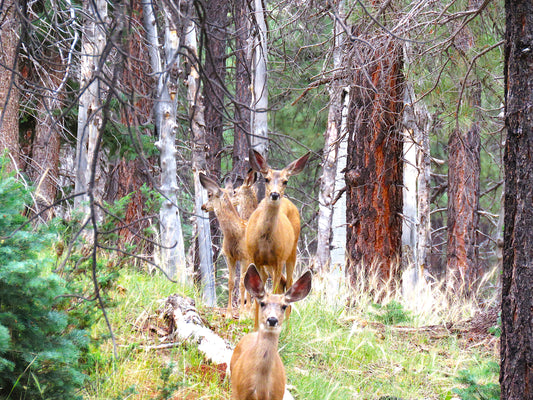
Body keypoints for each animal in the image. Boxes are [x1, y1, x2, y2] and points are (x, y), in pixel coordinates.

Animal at [200, 172, 249, 316]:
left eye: (209, 194)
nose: (203, 206)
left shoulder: (245, 257)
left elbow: (242, 284)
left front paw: (242, 314)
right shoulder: (229, 256)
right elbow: (231, 282)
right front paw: (228, 313)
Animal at [230, 262, 312, 400]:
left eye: (284, 306)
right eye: (262, 303)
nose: (272, 319)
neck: (262, 386)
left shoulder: (277, 394)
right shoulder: (238, 393)